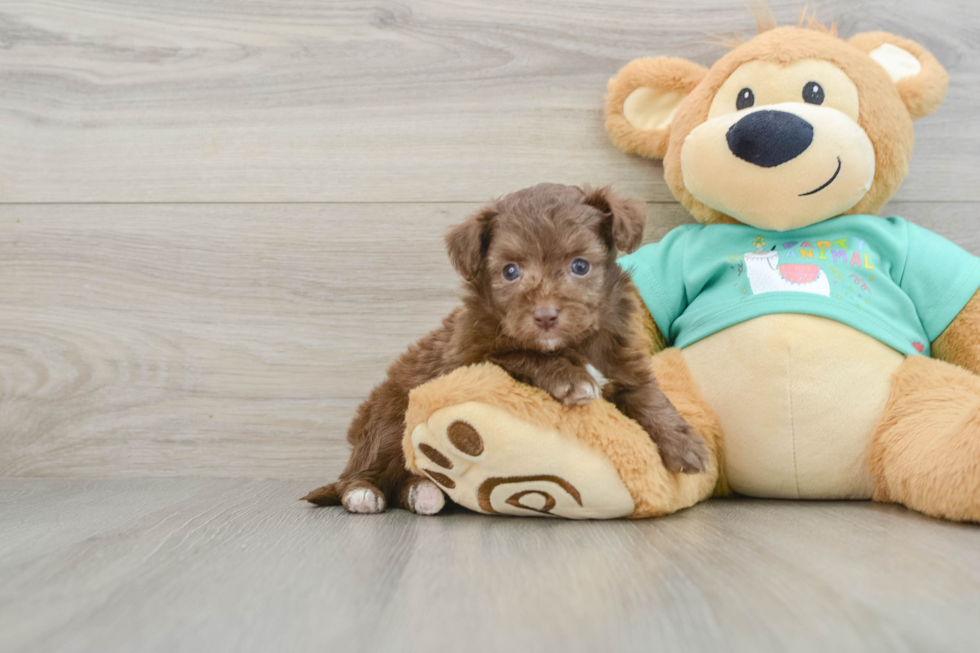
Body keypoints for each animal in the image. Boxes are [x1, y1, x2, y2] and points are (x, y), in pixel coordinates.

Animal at [304, 183, 704, 516]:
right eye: (510, 271)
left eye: (580, 266)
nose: (545, 315)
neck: (576, 344)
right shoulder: (471, 357)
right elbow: (522, 355)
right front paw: (569, 377)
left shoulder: (621, 360)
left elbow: (648, 394)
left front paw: (684, 443)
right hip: (388, 418)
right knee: (367, 468)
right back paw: (363, 493)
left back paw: (426, 493)